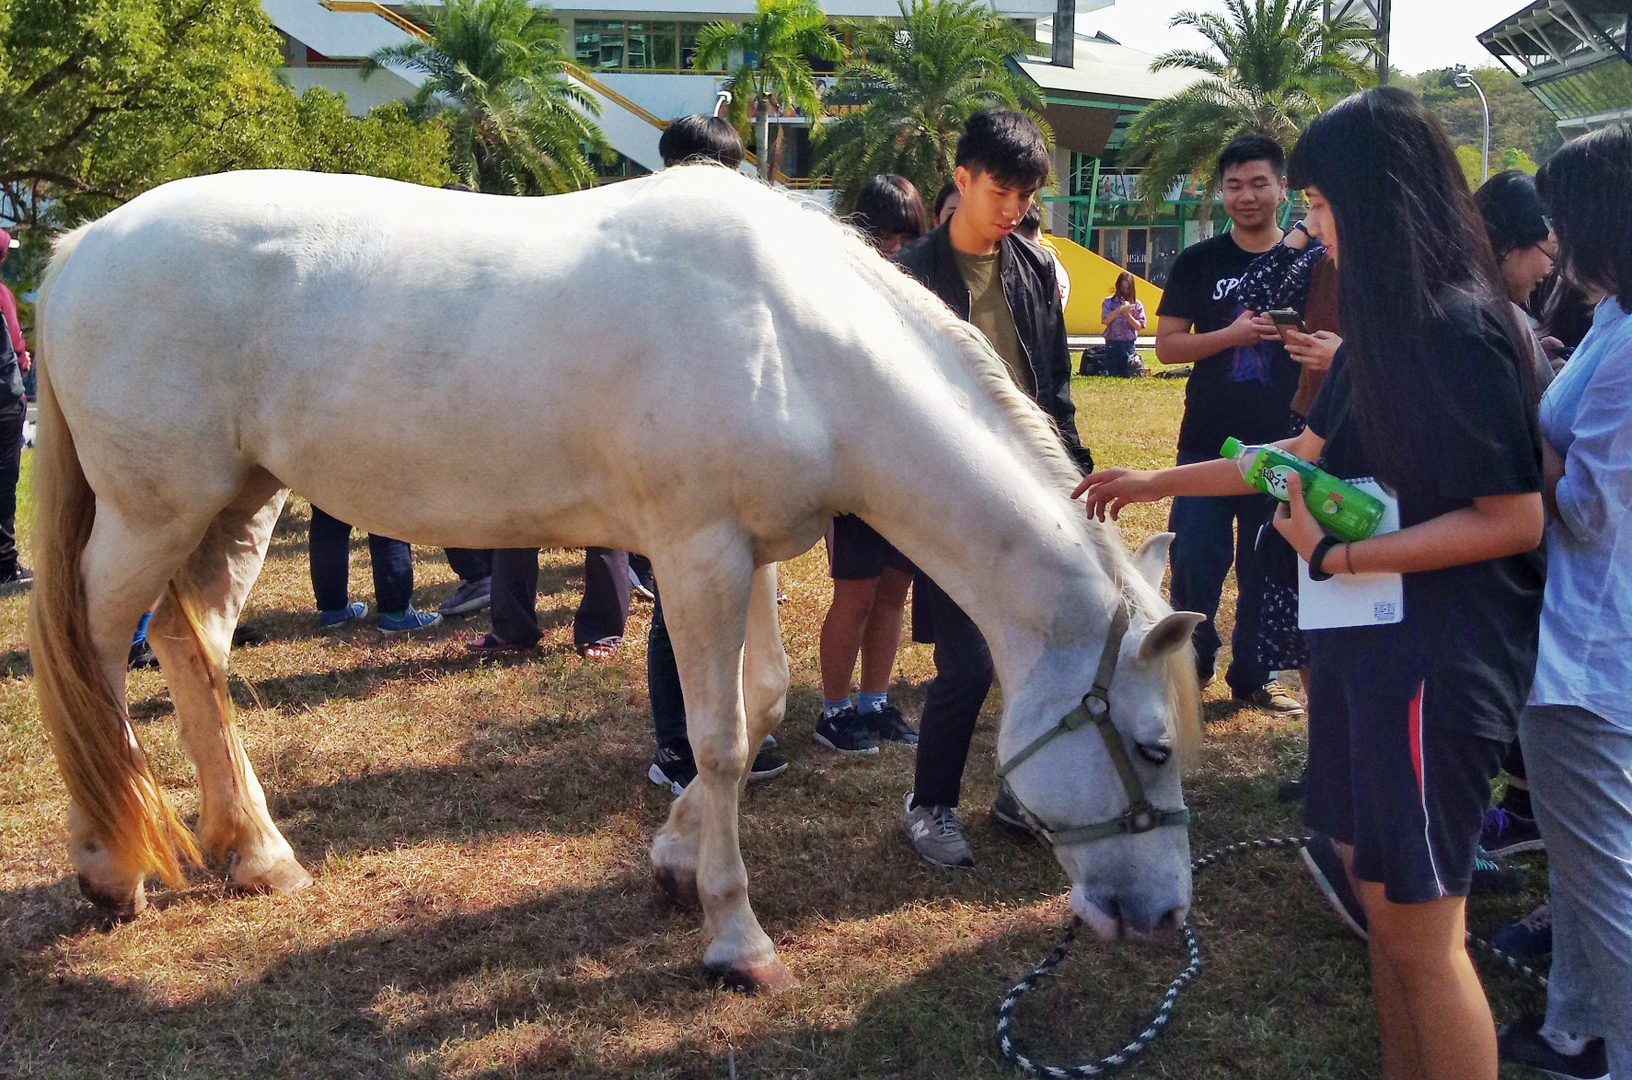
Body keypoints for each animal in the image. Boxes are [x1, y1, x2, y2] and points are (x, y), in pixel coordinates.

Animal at [31, 166, 1203, 990]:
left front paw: (675, 862)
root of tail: (77, 248)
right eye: (1152, 745)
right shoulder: (694, 556)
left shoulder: (745, 555)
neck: (794, 340)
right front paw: (737, 938)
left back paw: (257, 854)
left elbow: (761, 701)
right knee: (89, 654)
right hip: (152, 514)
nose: (1164, 919)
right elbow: (720, 738)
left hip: (236, 503)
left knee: (189, 648)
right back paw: (110, 867)